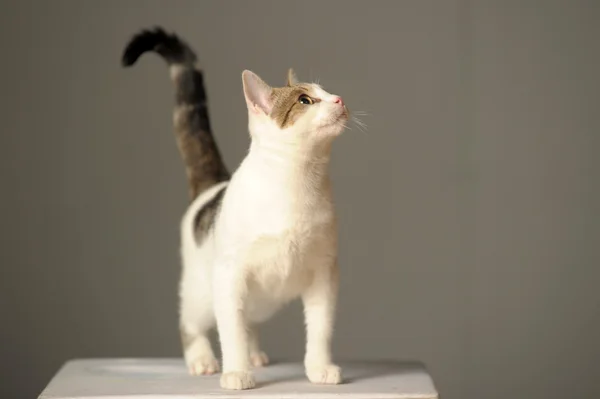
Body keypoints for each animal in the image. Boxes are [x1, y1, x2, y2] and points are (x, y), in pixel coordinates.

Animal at [121, 27, 346, 390]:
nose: (339, 99)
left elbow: (320, 329)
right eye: (305, 101)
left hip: (260, 299)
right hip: (202, 292)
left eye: (327, 93)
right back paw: (202, 360)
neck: (299, 181)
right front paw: (237, 372)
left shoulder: (324, 274)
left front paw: (320, 367)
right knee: (193, 323)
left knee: (249, 321)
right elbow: (231, 333)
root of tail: (214, 188)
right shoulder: (230, 274)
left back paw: (254, 354)